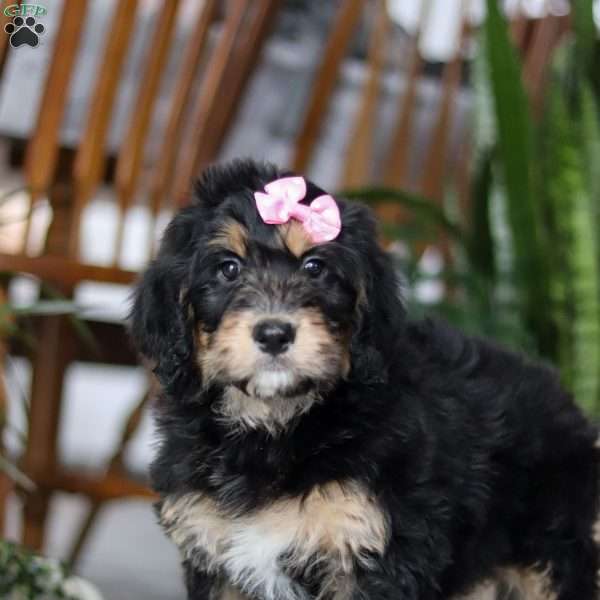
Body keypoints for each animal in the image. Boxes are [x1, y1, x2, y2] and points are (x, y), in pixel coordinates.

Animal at [131, 159, 600, 600]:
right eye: (228, 268)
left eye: (315, 267)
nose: (275, 333)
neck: (276, 425)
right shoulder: (216, 553)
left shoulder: (370, 546)